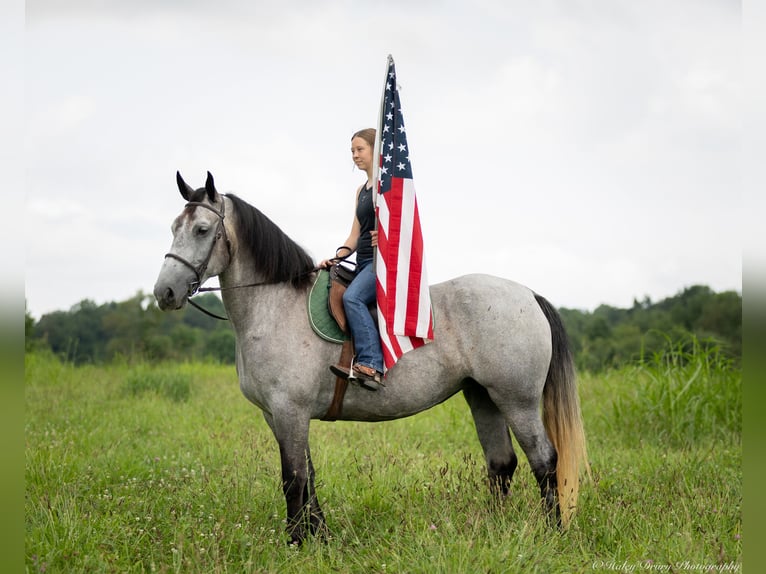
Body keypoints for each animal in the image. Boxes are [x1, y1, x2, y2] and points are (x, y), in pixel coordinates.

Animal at [153, 172, 592, 548]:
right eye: (174, 227)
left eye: (202, 230)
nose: (164, 293)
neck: (275, 305)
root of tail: (527, 294)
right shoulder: (276, 415)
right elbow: (309, 476)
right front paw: (319, 537)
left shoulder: (290, 411)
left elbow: (293, 478)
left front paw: (296, 543)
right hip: (482, 396)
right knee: (501, 463)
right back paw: (494, 531)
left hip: (517, 400)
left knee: (544, 461)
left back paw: (553, 533)